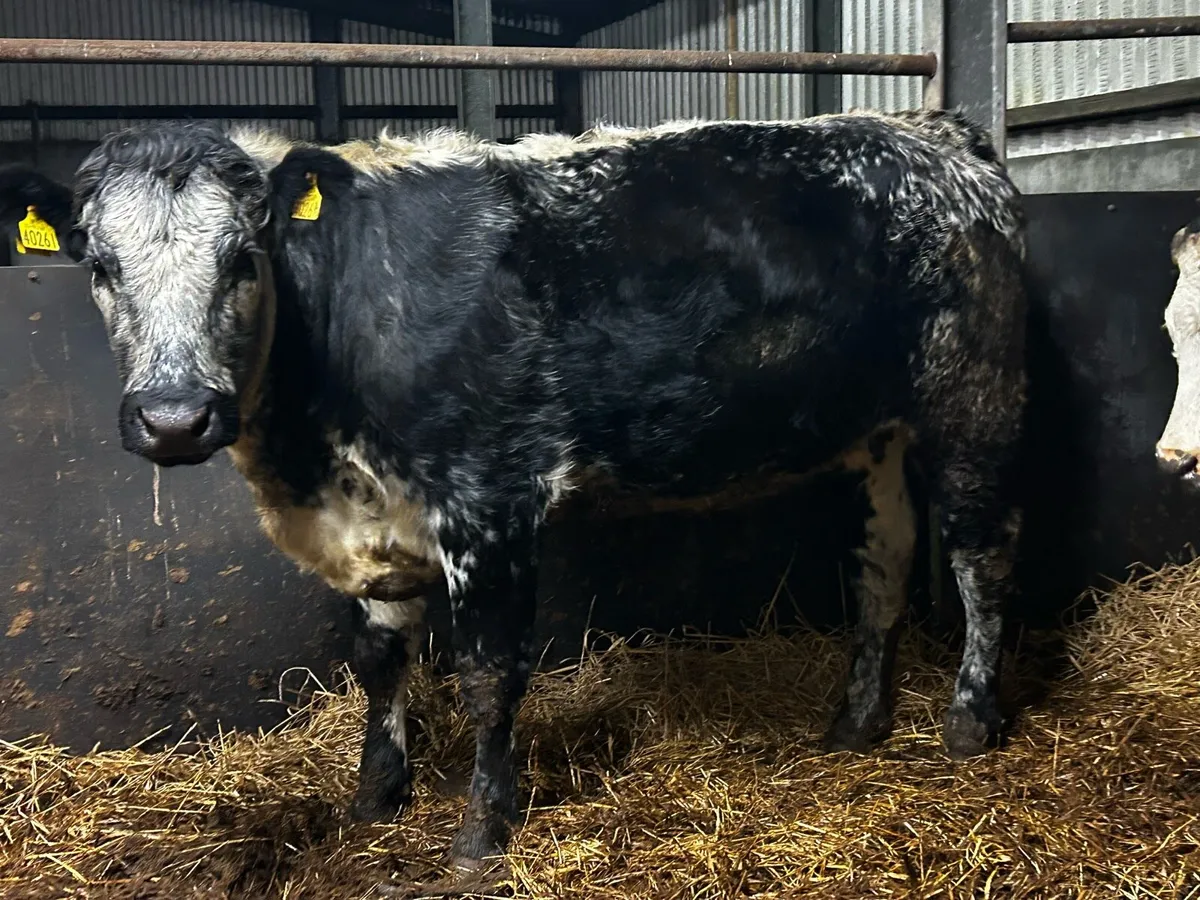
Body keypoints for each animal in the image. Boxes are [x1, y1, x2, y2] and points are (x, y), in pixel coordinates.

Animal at [0, 108, 1028, 870]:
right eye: (99, 265)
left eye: (242, 258)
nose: (174, 419)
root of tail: (929, 130)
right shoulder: (376, 514)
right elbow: (381, 659)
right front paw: (375, 797)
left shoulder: (487, 497)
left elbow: (488, 673)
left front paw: (479, 834)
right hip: (877, 434)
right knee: (883, 567)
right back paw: (855, 724)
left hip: (973, 394)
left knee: (983, 561)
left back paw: (968, 722)